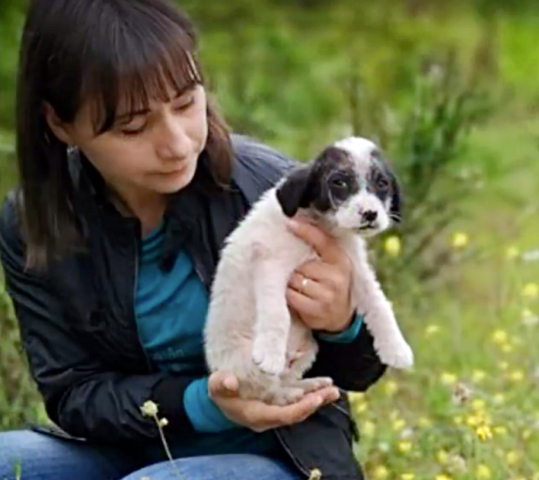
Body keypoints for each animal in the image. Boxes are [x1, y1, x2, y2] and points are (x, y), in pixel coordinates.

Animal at [204, 137, 414, 406]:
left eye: (382, 183)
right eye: (339, 182)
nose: (370, 213)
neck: (323, 224)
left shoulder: (353, 268)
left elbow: (379, 303)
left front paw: (396, 347)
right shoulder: (270, 265)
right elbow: (278, 314)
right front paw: (270, 353)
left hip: (309, 351)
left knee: (285, 380)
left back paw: (307, 385)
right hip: (246, 368)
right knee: (267, 393)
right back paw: (290, 392)